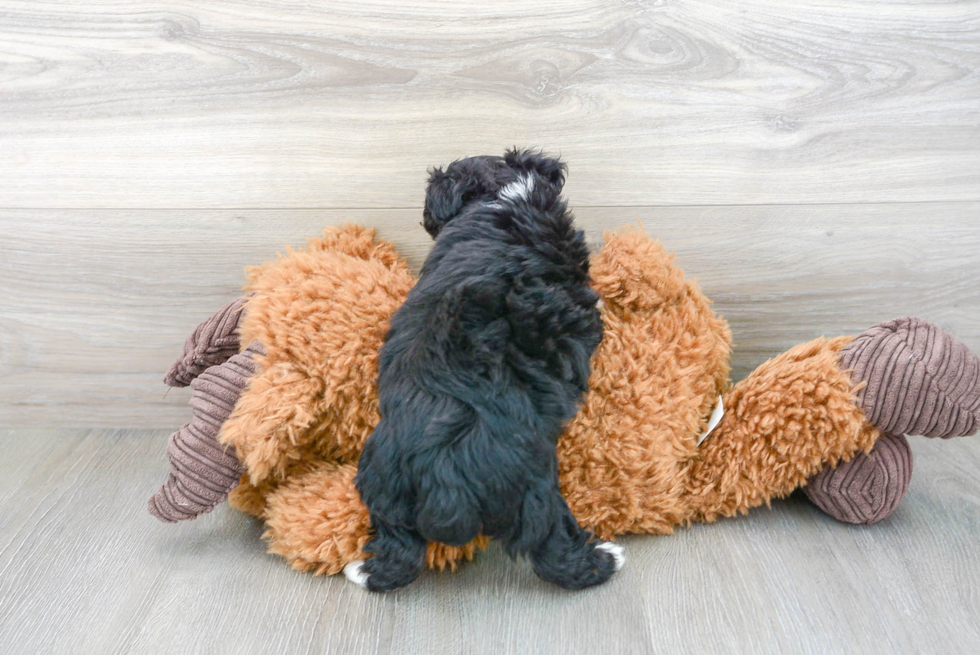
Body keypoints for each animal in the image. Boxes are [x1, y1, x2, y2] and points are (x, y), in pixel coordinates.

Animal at [344, 150, 624, 596]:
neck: (500, 195)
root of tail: (441, 470)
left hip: (383, 486)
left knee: (398, 552)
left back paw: (364, 570)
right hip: (533, 489)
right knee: (552, 546)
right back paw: (603, 559)